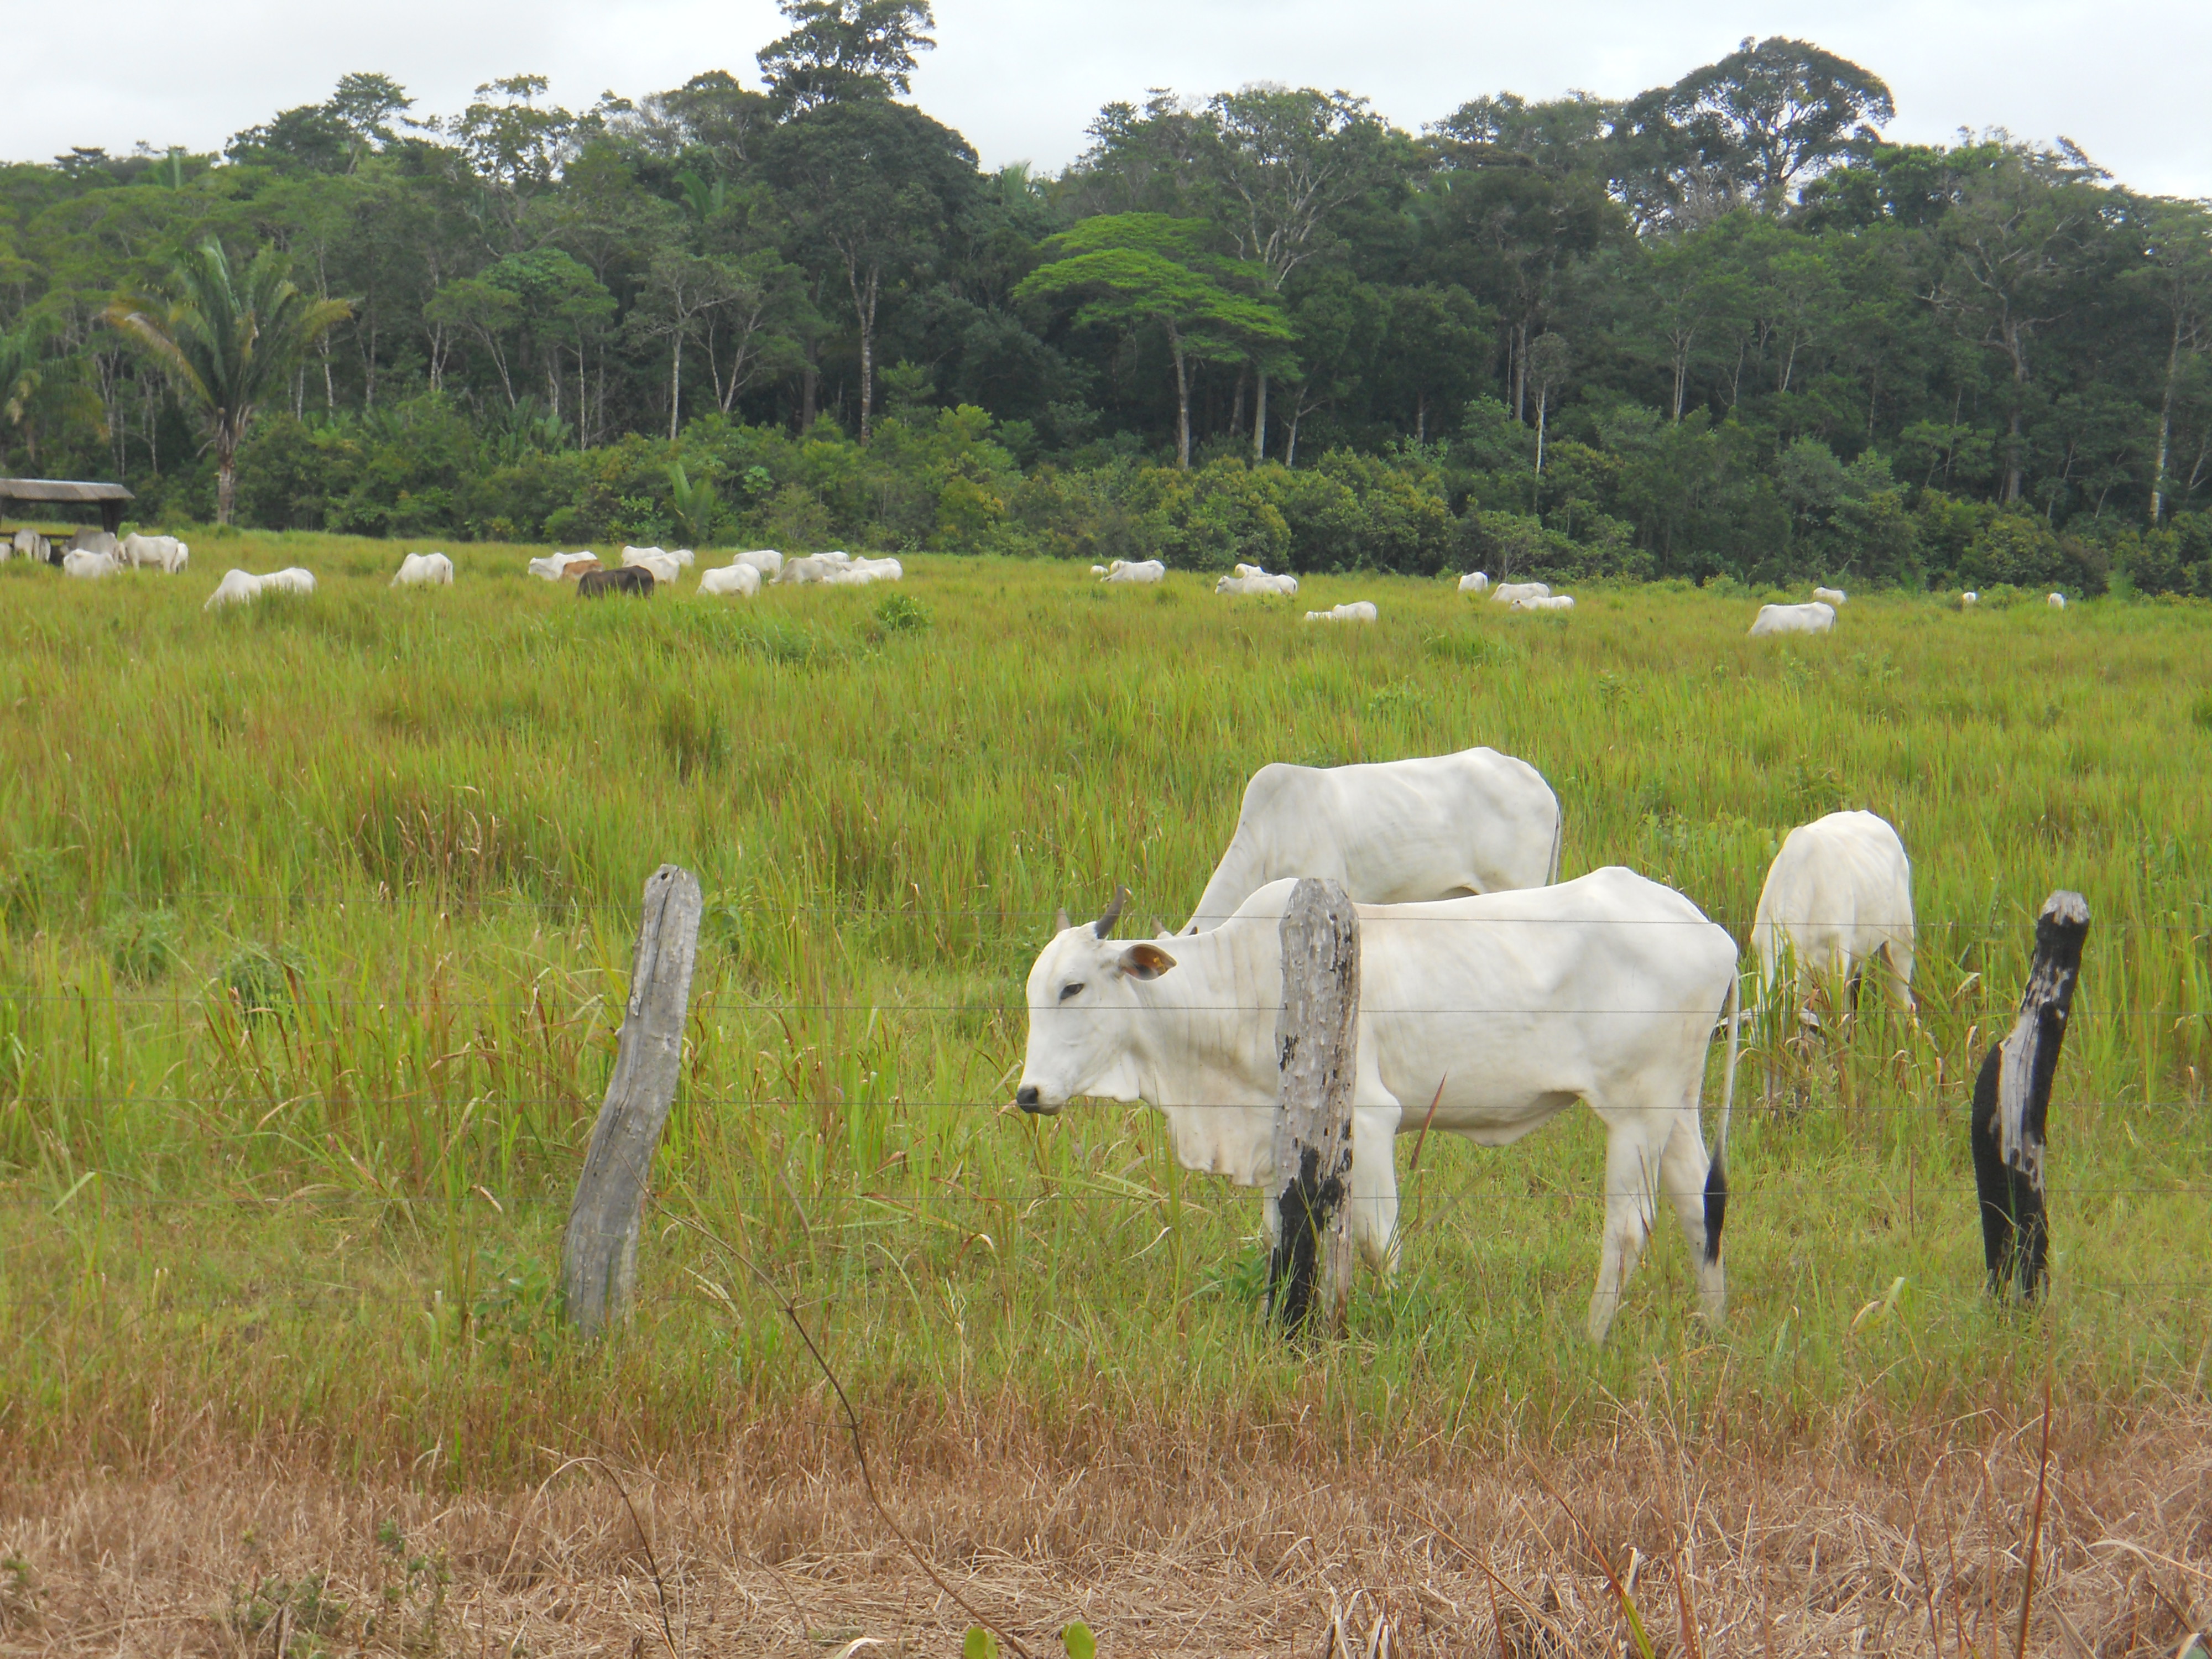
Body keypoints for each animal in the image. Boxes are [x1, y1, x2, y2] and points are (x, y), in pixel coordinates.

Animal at [1015, 870, 1742, 1342]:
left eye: (1073, 987)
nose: (1028, 1093)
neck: (1243, 982)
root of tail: (1711, 932)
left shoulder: (1367, 1119)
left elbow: (1376, 1242)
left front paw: (1386, 1317)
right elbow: (1278, 1234)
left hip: (1636, 1113)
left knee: (1628, 1229)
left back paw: (1590, 1338)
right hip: (1675, 1108)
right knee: (1699, 1209)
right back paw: (1709, 1333)